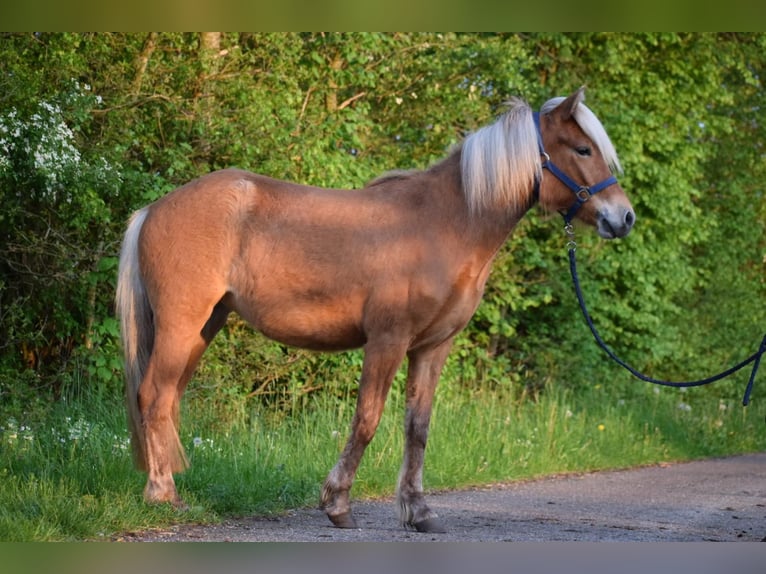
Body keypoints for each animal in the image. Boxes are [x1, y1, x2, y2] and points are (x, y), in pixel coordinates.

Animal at [115, 87, 634, 533]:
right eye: (582, 149)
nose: (623, 218)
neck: (445, 224)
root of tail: (153, 210)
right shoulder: (388, 340)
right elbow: (367, 419)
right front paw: (337, 504)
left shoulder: (431, 348)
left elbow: (417, 428)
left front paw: (418, 511)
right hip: (182, 325)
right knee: (154, 396)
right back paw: (164, 495)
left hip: (205, 326)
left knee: (168, 400)